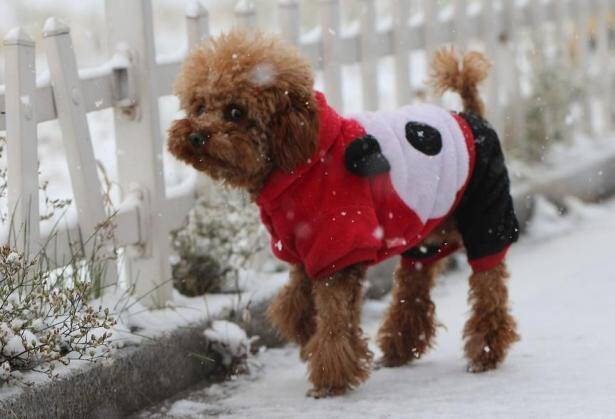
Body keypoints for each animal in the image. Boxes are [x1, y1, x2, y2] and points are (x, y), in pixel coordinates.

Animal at [168, 31, 520, 398]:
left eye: (236, 111)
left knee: (489, 289)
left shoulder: (339, 249)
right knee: (414, 288)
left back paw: (485, 352)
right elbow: (296, 305)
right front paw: (310, 336)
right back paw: (400, 348)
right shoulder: (303, 250)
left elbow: (335, 318)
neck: (303, 162)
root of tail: (471, 117)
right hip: (426, 237)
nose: (195, 135)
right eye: (200, 106)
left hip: (488, 219)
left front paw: (331, 376)